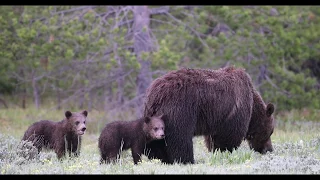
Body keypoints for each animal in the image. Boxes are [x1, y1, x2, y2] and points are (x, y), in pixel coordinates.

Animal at [144, 66, 274, 165]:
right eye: (270, 132)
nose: (269, 150)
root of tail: (156, 93)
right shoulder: (234, 111)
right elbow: (229, 136)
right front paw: (225, 152)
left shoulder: (214, 119)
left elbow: (212, 139)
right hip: (179, 110)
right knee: (180, 139)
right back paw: (187, 160)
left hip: (153, 115)